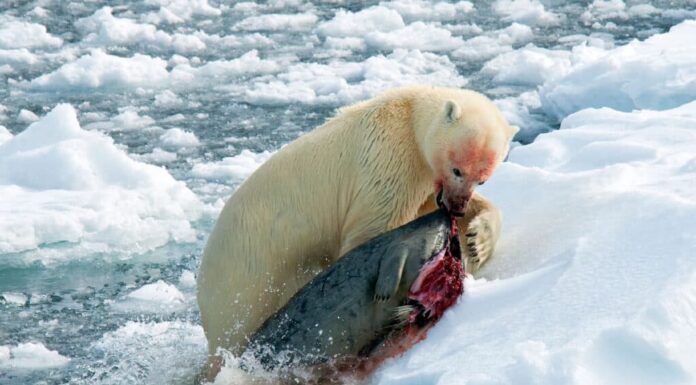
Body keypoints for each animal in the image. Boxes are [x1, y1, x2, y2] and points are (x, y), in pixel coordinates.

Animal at [196, 85, 516, 376]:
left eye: (482, 178)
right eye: (457, 169)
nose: (456, 206)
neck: (409, 120)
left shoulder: (424, 181)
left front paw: (478, 241)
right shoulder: (388, 164)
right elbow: (373, 229)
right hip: (249, 280)